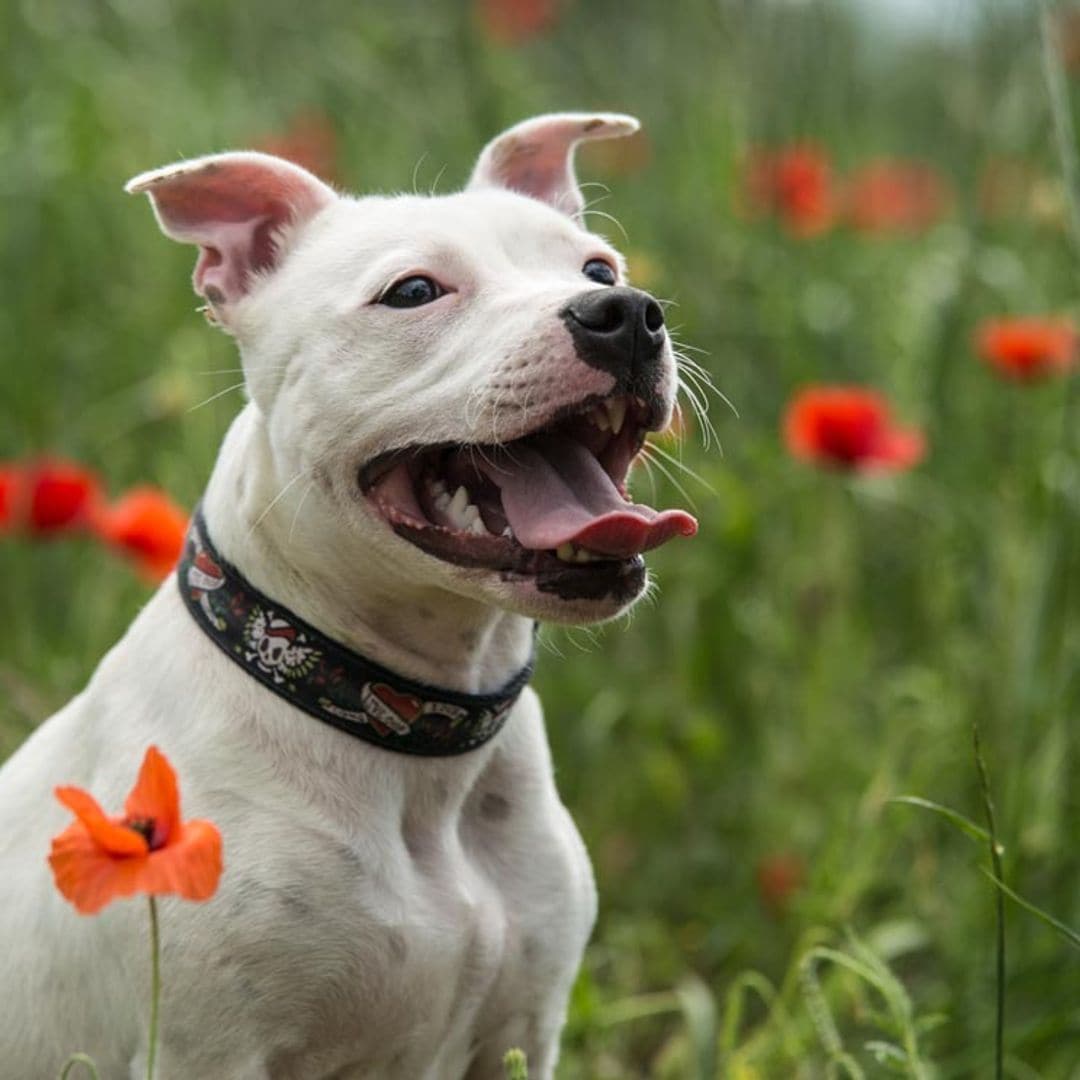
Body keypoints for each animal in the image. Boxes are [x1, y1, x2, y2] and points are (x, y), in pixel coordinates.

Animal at [0, 113, 691, 1075]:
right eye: (413, 291)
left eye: (599, 269)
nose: (625, 315)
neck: (404, 725)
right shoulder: (208, 1051)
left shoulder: (520, 1032)